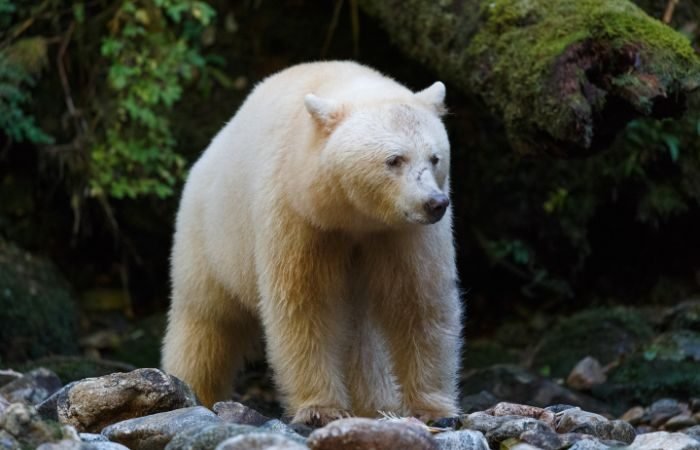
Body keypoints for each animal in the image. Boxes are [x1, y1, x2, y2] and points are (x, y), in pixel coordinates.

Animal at [162, 61, 462, 426]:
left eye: (435, 158)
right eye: (394, 159)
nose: (434, 203)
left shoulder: (401, 233)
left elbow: (419, 301)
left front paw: (435, 411)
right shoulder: (298, 216)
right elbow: (305, 305)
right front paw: (321, 409)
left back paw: (376, 405)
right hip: (209, 238)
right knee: (206, 320)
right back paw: (190, 390)